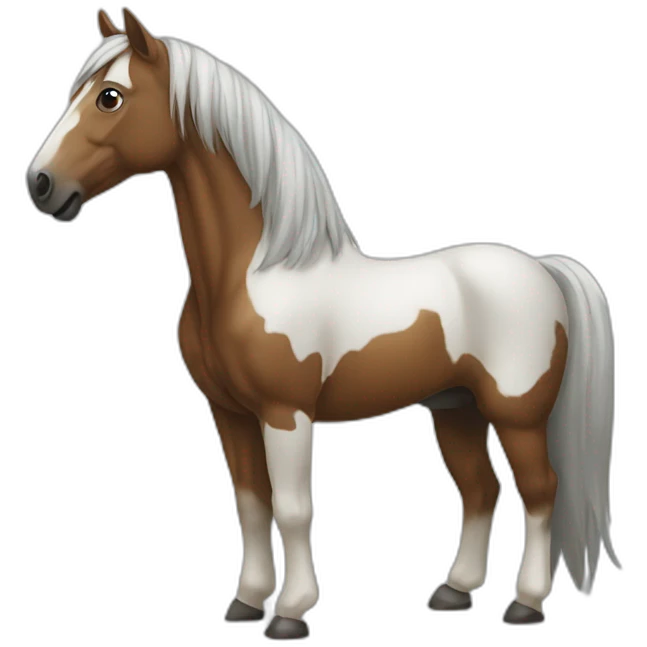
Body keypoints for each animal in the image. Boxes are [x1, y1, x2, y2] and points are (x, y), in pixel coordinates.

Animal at [26, 8, 620, 640]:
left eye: (110, 97)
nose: (41, 185)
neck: (252, 275)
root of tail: (541, 268)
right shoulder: (231, 413)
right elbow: (252, 503)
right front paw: (247, 600)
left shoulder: (286, 414)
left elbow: (292, 509)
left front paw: (290, 611)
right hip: (456, 408)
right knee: (481, 489)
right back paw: (453, 592)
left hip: (517, 414)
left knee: (540, 491)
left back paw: (526, 604)